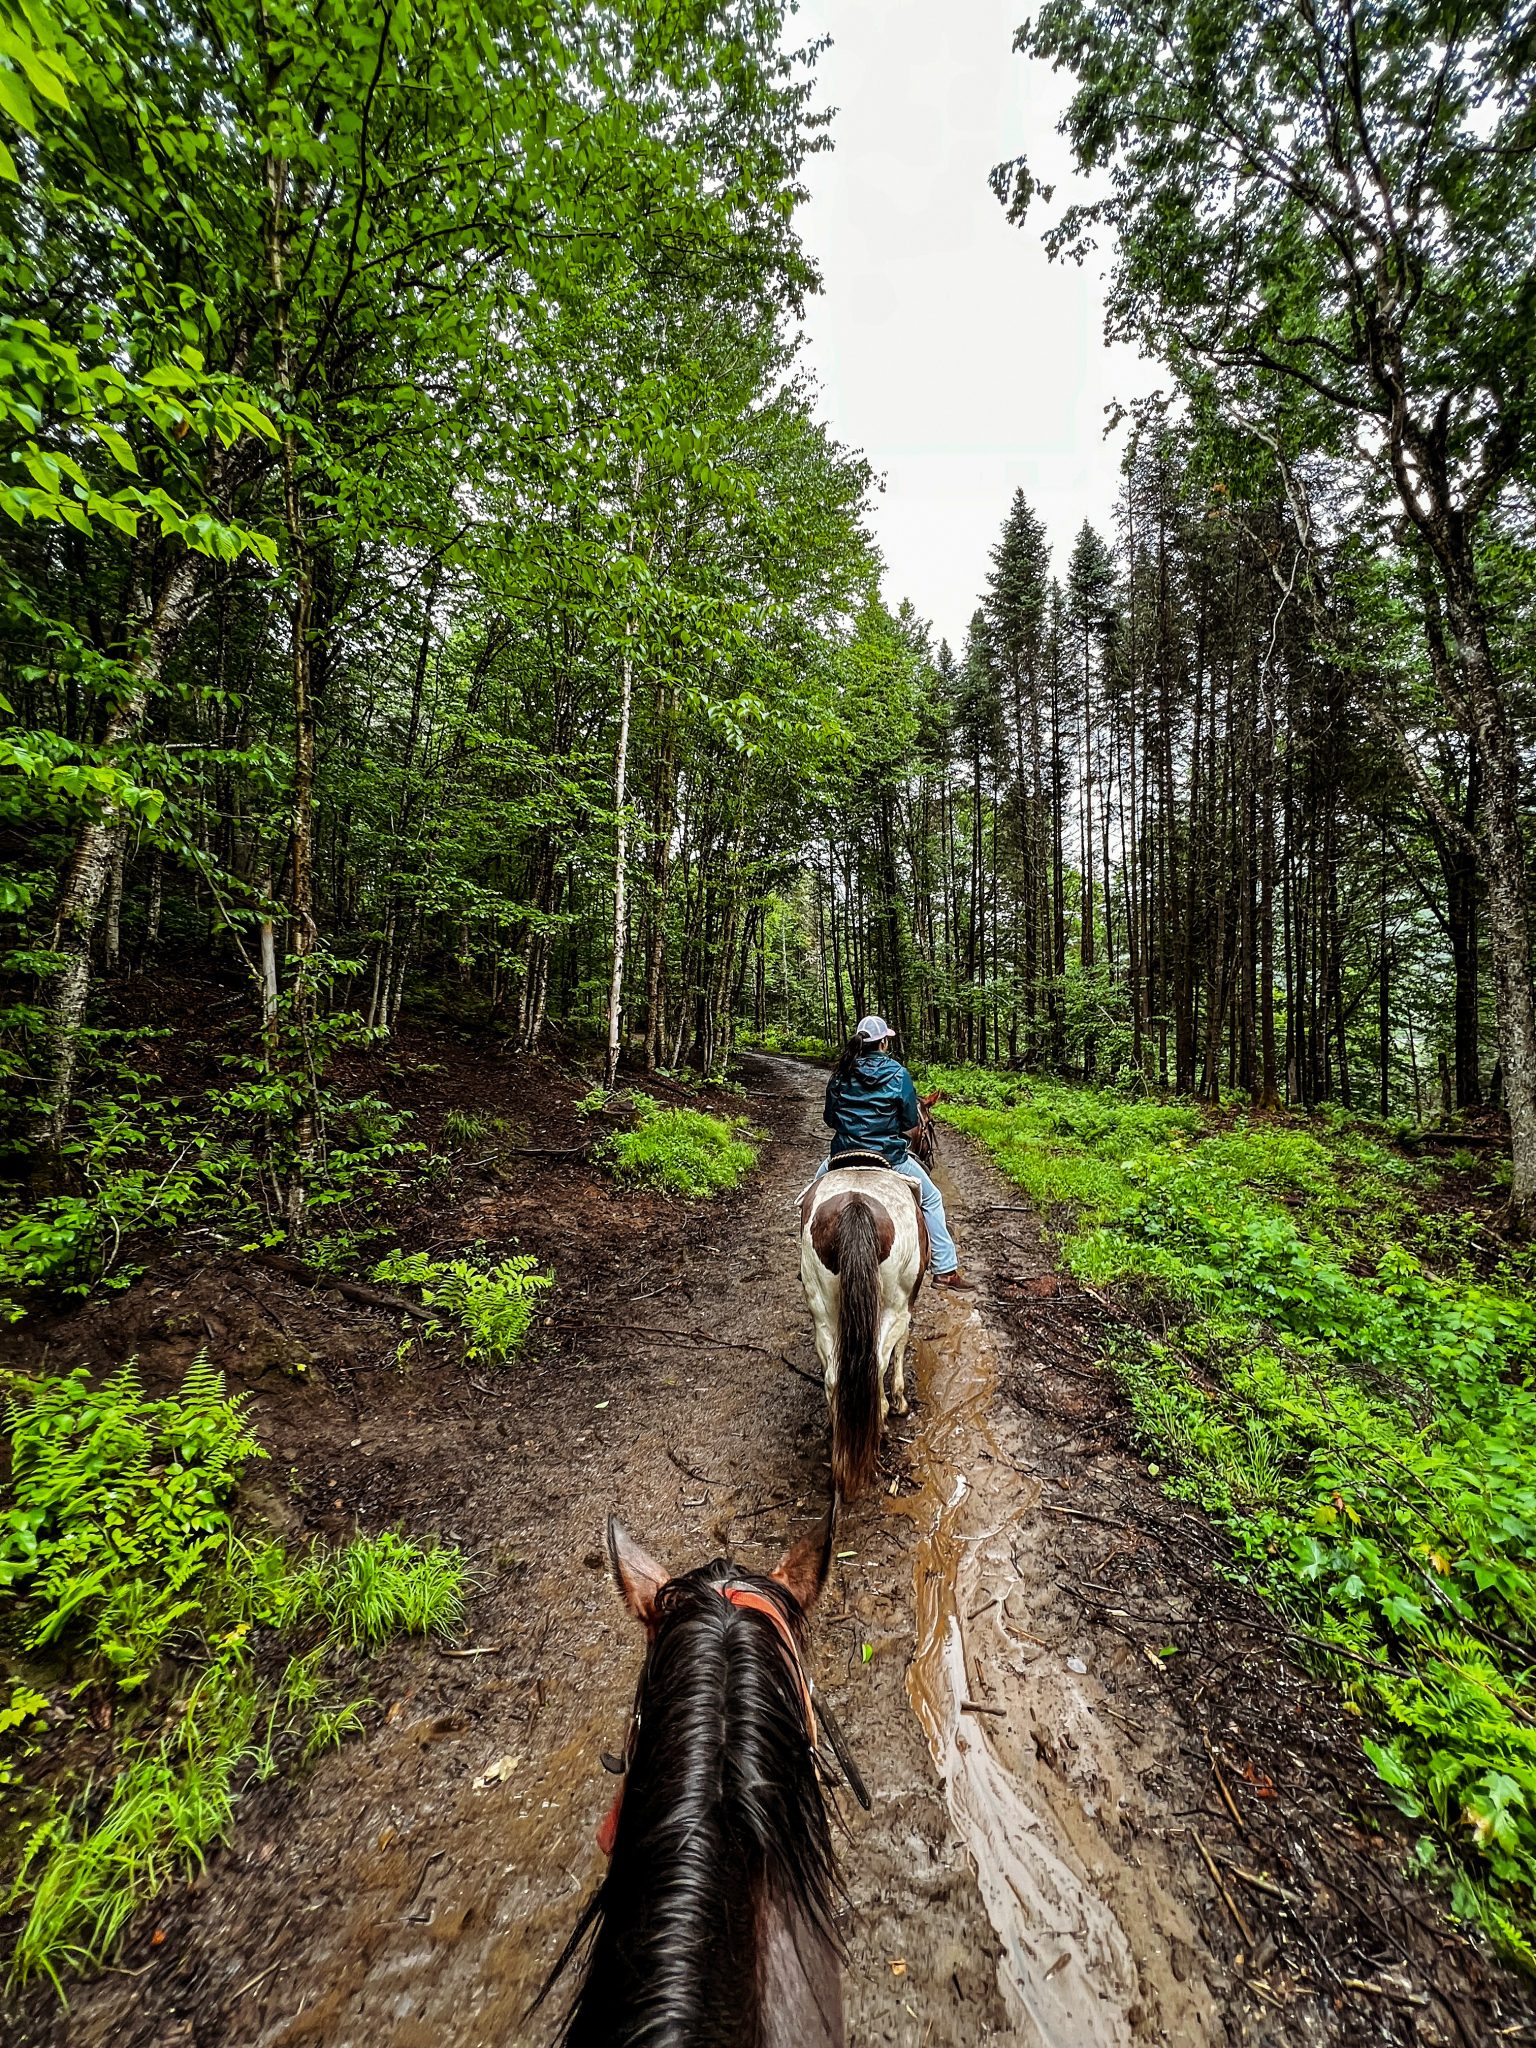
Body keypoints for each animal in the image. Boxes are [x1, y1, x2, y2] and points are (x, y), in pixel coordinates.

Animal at [798, 1171, 933, 1490]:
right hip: (894, 1304)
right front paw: (900, 1401)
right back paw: (880, 1416)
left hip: (822, 1309)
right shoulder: (906, 1306)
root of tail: (856, 1205)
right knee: (878, 1363)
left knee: (834, 1376)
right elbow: (901, 1346)